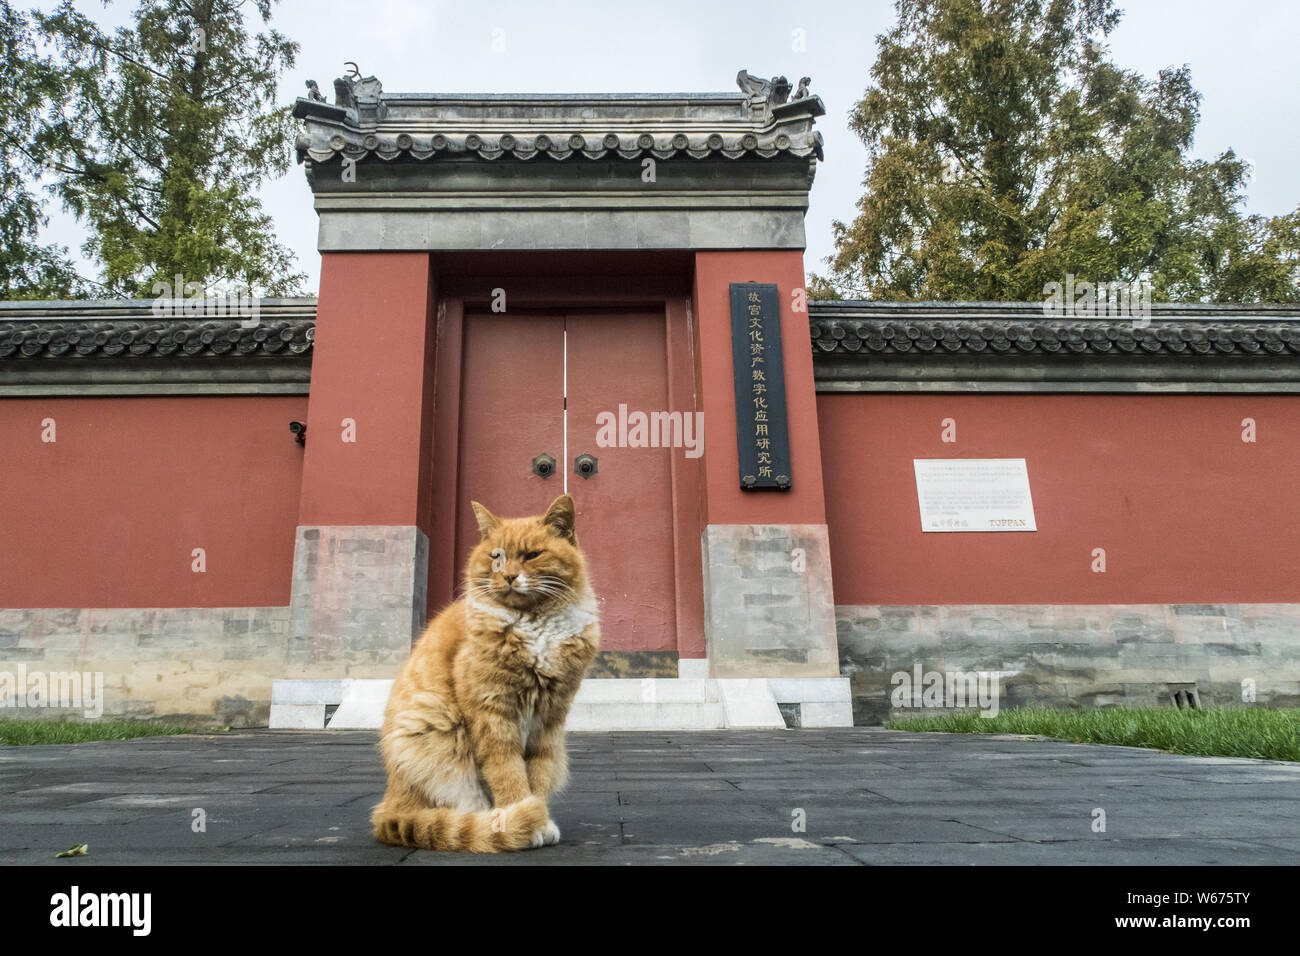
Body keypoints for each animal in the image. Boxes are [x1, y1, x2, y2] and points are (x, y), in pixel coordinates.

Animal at [374, 494, 600, 853]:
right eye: (496, 556)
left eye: (532, 555)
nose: (508, 576)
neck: (535, 623)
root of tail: (390, 806)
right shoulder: (491, 711)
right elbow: (507, 772)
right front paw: (521, 818)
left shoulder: (549, 717)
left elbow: (538, 774)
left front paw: (538, 818)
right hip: (436, 728)